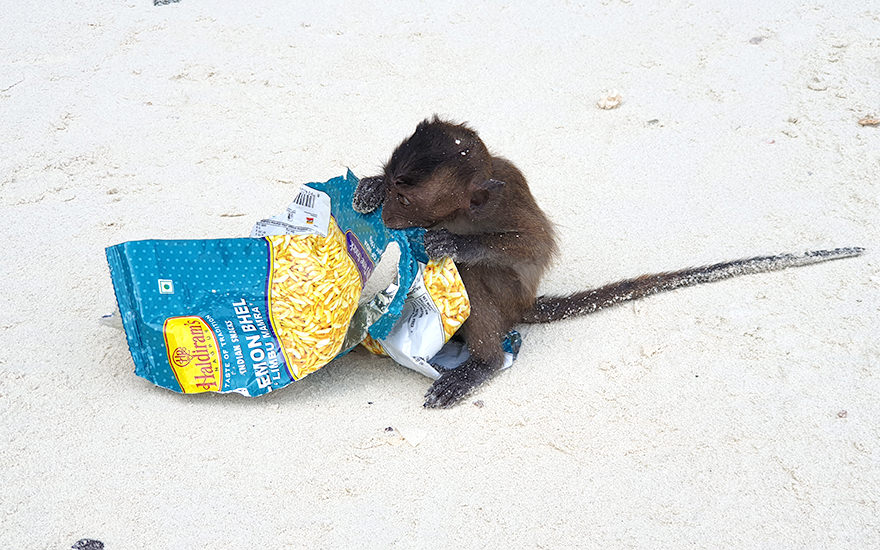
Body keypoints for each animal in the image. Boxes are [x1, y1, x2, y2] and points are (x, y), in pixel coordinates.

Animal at [353, 116, 864, 408]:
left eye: (405, 198)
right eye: (393, 185)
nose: (388, 212)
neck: (462, 210)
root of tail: (524, 306)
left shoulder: (505, 198)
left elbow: (531, 246)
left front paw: (450, 243)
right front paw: (368, 189)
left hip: (508, 297)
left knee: (478, 280)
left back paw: (484, 361)